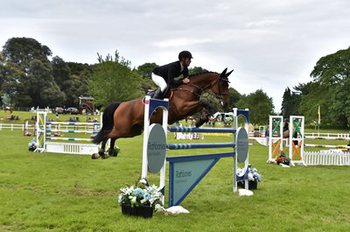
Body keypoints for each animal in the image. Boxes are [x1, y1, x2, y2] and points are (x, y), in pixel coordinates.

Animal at [93, 67, 234, 158]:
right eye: (223, 84)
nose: (227, 102)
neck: (188, 88)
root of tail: (121, 104)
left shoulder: (187, 110)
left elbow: (201, 107)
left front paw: (201, 120)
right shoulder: (182, 108)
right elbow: (204, 103)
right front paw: (203, 119)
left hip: (132, 131)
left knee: (113, 136)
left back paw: (111, 152)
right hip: (125, 128)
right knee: (108, 134)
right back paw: (101, 153)